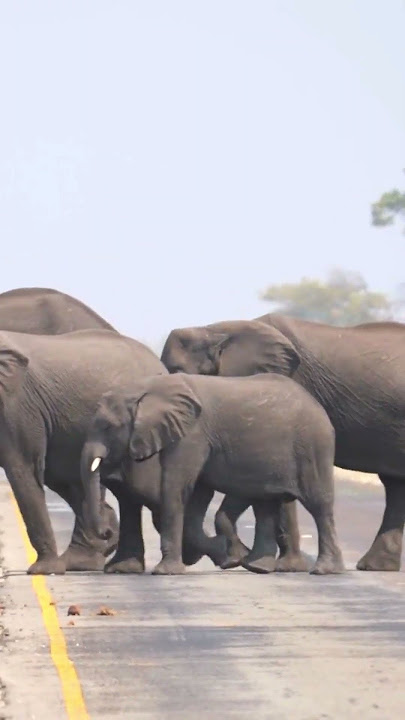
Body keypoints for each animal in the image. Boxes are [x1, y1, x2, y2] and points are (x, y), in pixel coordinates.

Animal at [82, 374, 344, 576]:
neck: (147, 388)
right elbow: (197, 493)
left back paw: (324, 571)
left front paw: (166, 572)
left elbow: (177, 486)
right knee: (267, 504)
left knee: (319, 505)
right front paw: (228, 555)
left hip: (313, 446)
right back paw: (257, 566)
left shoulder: (193, 433)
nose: (107, 532)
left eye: (108, 426)